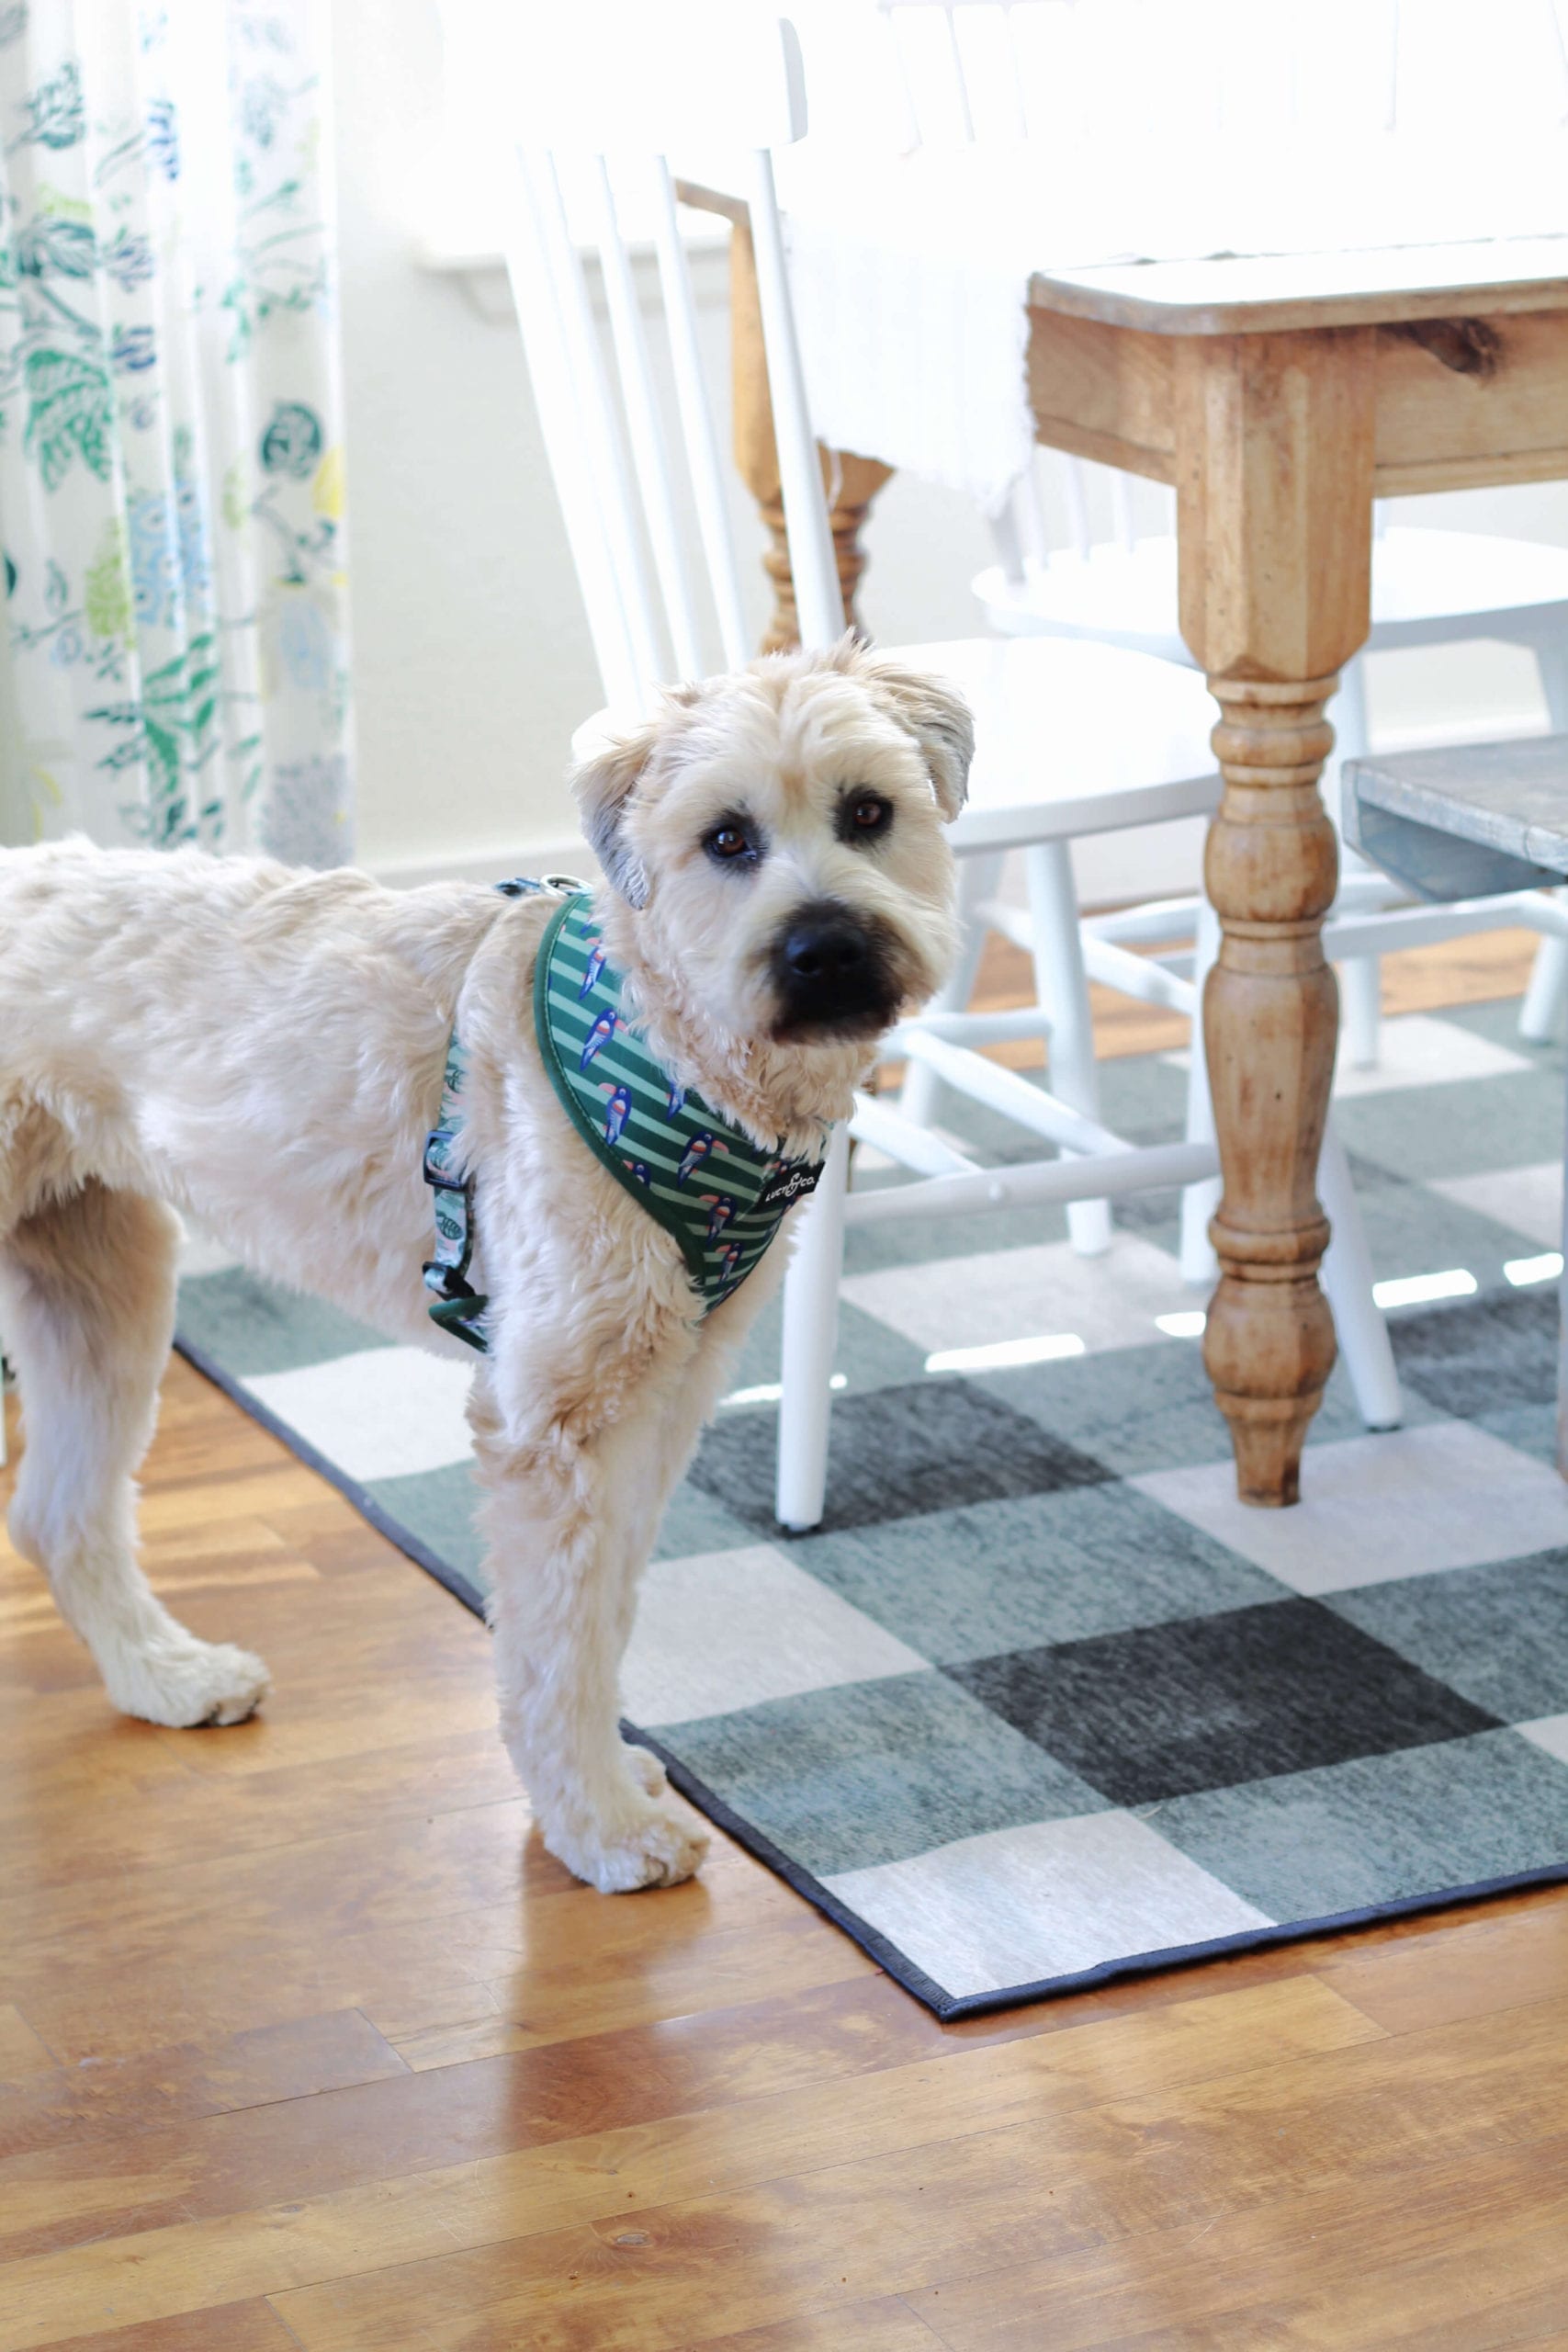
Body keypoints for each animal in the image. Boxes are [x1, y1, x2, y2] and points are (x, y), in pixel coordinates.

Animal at [0, 639, 968, 1891]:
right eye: (726, 838)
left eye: (869, 812)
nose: (827, 948)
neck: (667, 1045)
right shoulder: (553, 1422)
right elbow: (558, 1643)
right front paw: (598, 1824)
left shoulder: (662, 1395)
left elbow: (605, 1612)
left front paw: (603, 1782)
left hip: (98, 1278)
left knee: (58, 1515)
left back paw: (165, 1675)